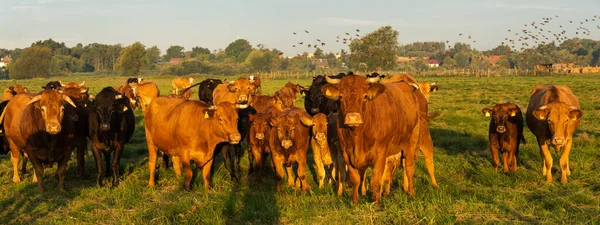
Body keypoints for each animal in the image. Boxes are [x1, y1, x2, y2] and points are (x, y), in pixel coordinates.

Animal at [324, 74, 432, 204]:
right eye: (341, 97)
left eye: (365, 96)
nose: (353, 118)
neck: (357, 136)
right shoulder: (347, 153)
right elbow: (355, 179)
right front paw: (355, 201)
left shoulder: (380, 153)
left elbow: (375, 180)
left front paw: (375, 202)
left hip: (411, 143)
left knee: (409, 168)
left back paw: (411, 192)